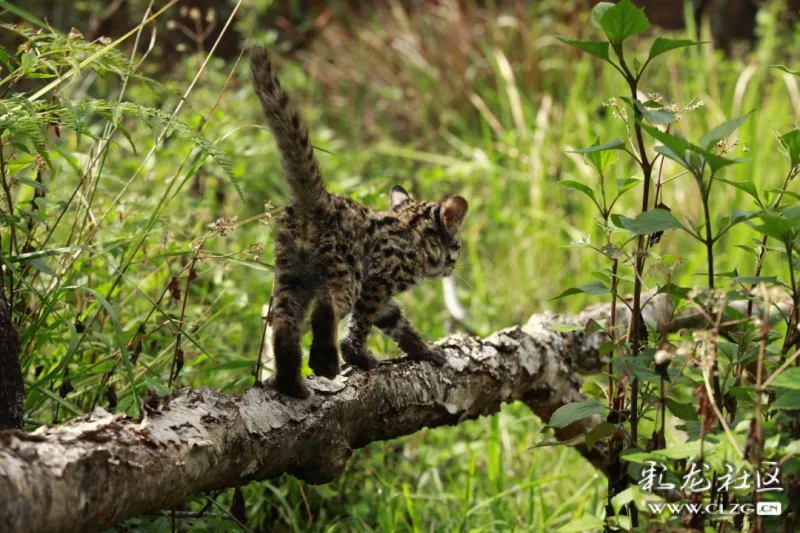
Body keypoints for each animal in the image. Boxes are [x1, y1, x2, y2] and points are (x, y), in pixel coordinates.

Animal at [247, 45, 466, 396]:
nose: (452, 268)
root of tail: (316, 200)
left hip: (290, 274)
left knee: (282, 322)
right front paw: (358, 356)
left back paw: (291, 384)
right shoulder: (377, 282)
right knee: (325, 307)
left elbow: (398, 323)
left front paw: (427, 351)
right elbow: (361, 324)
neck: (414, 236)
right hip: (344, 271)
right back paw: (325, 363)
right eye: (457, 245)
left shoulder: (385, 298)